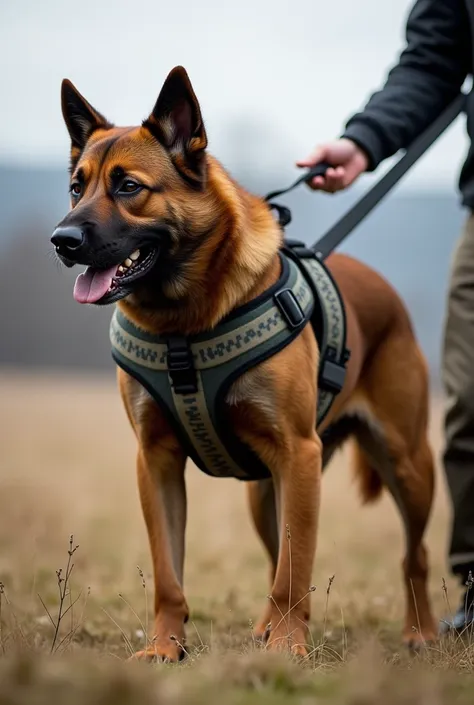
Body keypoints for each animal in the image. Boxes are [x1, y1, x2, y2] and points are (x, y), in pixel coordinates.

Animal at [51, 66, 436, 660]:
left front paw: (287, 649)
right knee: (280, 553)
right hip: (268, 491)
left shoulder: (297, 454)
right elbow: (170, 574)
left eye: (129, 187)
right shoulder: (156, 462)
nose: (61, 240)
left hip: (406, 466)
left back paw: (420, 632)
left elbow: (295, 570)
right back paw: (265, 627)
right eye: (77, 186)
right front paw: (165, 648)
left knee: (412, 555)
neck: (183, 326)